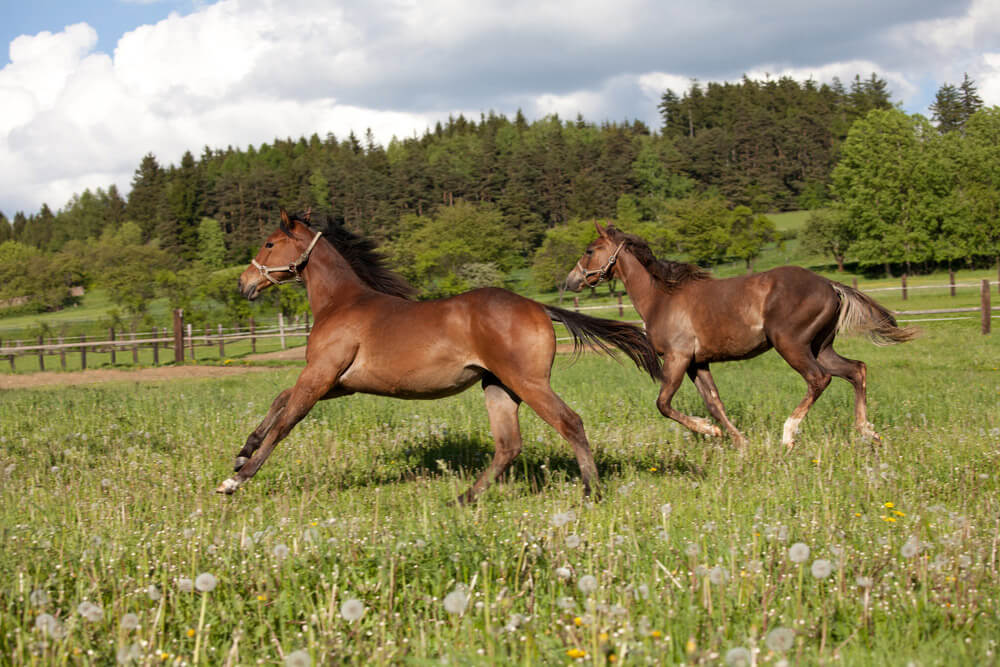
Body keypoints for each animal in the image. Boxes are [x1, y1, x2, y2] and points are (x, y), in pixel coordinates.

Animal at [215, 210, 660, 500]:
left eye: (269, 243)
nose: (243, 283)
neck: (341, 303)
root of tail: (538, 306)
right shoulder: (338, 381)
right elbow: (280, 400)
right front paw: (241, 453)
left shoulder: (321, 374)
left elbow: (286, 421)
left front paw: (237, 479)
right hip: (498, 386)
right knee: (508, 446)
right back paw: (464, 498)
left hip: (528, 382)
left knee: (570, 423)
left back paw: (591, 491)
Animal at [564, 223, 916, 448]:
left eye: (589, 250)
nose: (570, 282)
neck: (661, 297)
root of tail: (830, 284)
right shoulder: (697, 363)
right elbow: (714, 403)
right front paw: (737, 440)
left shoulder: (678, 359)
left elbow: (663, 404)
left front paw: (709, 431)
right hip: (821, 347)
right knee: (857, 370)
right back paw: (867, 431)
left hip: (791, 345)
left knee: (819, 379)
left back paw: (788, 434)